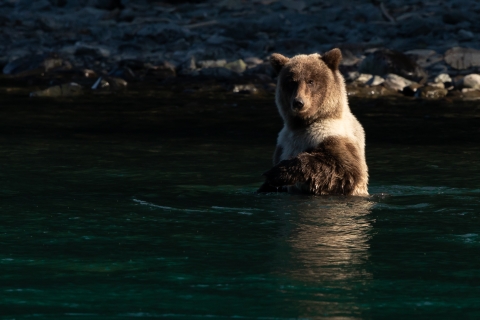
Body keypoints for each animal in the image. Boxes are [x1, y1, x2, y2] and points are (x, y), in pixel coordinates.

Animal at [258, 48, 368, 196]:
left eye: (310, 81)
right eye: (291, 82)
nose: (298, 102)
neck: (302, 124)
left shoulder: (333, 133)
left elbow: (344, 170)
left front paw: (276, 172)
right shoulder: (283, 144)